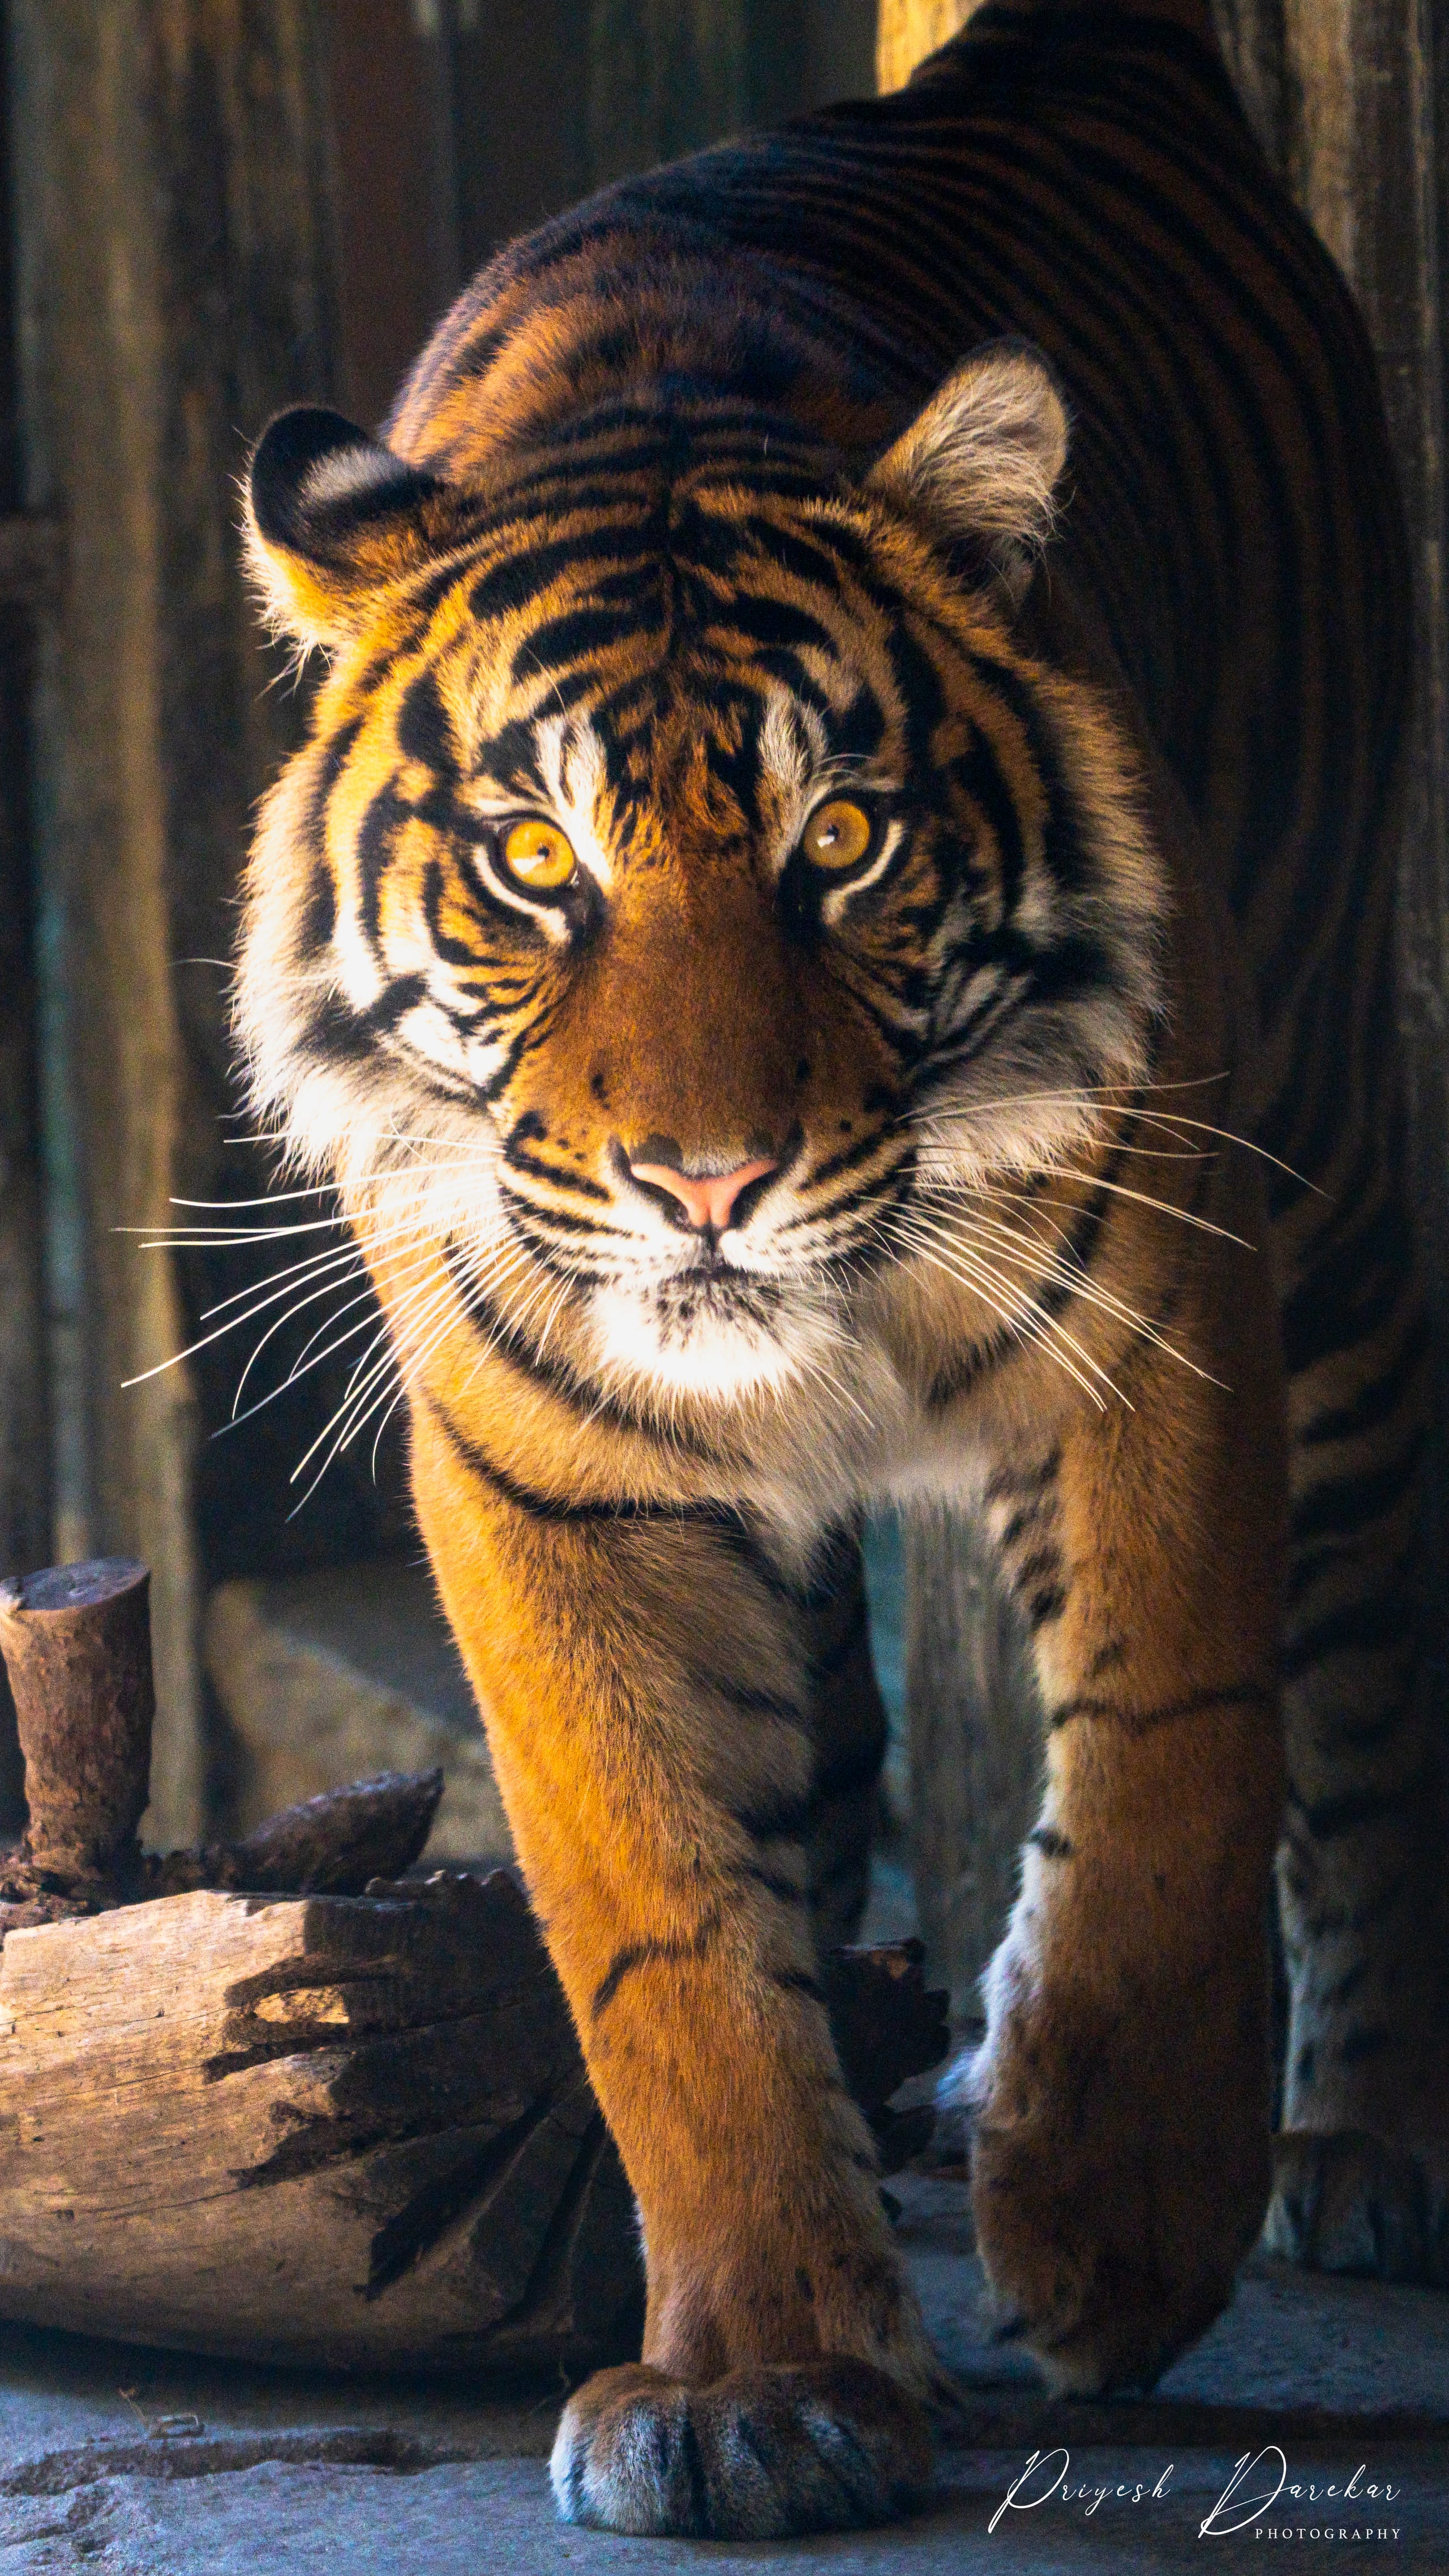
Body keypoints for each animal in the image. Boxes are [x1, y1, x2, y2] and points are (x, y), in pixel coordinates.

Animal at [235, 0, 1447, 2541]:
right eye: (533, 860)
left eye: (847, 839)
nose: (709, 1182)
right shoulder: (545, 1467)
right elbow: (670, 1928)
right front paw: (758, 2382)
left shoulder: (1164, 1322)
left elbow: (1168, 1782)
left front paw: (1108, 2233)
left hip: (1333, 1159)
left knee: (1368, 1642)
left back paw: (1366, 2143)